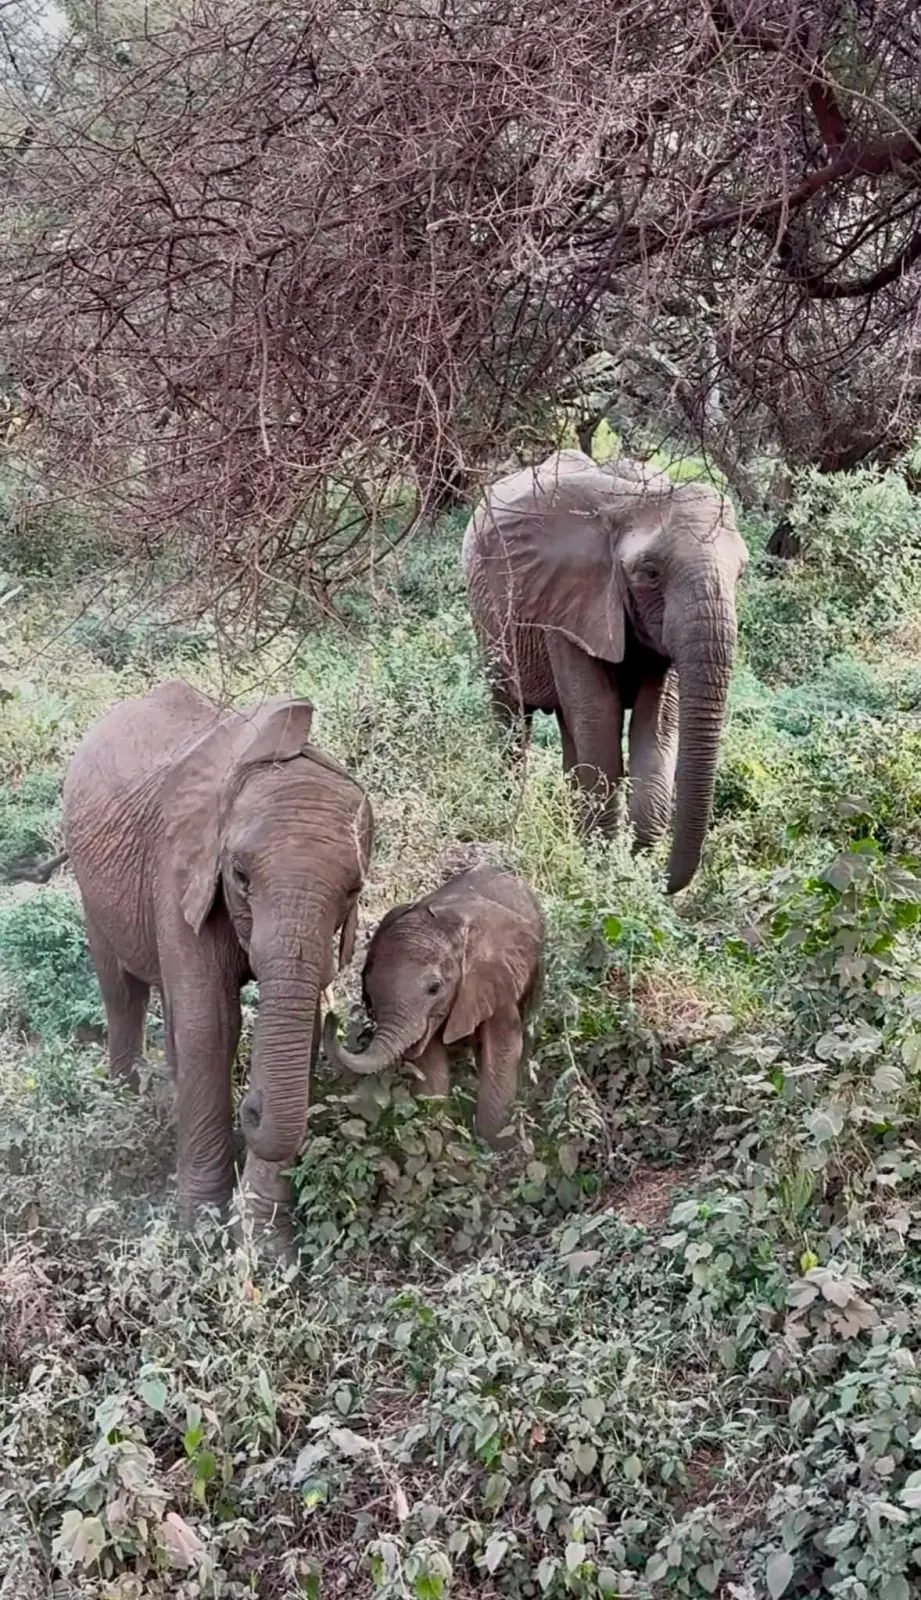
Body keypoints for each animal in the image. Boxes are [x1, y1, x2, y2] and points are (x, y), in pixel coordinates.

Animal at [57, 680, 373, 1257]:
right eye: (241, 876)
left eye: (353, 890)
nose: (252, 1108)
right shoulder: (178, 868)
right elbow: (213, 1027)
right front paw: (200, 1235)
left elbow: (289, 1033)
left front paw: (268, 1249)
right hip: (92, 884)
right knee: (122, 991)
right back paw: (126, 1108)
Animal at [323, 867, 544, 1145]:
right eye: (369, 990)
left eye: (434, 988)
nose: (332, 1015)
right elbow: (428, 1059)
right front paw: (440, 1136)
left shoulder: (495, 978)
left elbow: (502, 1045)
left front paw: (493, 1143)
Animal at [462, 449, 749, 892]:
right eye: (650, 573)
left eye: (741, 574)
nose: (664, 882)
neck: (631, 504)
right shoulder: (567, 607)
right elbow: (601, 726)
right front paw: (601, 865)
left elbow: (655, 731)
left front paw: (622, 863)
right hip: (490, 622)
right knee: (512, 715)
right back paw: (510, 817)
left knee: (569, 729)